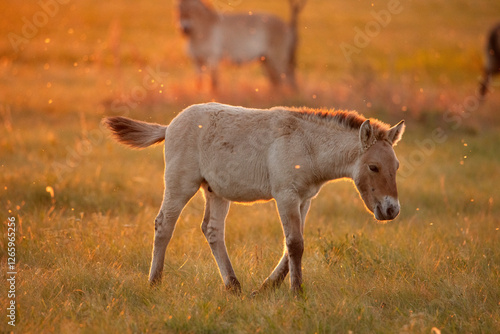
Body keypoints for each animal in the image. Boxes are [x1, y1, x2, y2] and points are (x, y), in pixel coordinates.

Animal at [103, 102, 404, 294]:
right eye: (373, 167)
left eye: (397, 166)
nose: (392, 210)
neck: (307, 144)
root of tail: (169, 126)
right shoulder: (286, 195)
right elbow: (295, 244)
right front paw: (297, 292)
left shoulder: (304, 199)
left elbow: (291, 246)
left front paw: (266, 288)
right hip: (181, 184)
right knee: (164, 224)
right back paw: (155, 282)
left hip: (215, 191)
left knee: (212, 230)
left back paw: (233, 286)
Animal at [178, 0, 306, 91]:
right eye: (178, 8)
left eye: (192, 10)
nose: (184, 29)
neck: (204, 29)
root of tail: (287, 27)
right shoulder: (196, 60)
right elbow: (199, 81)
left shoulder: (213, 58)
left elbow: (214, 82)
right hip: (266, 60)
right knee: (277, 81)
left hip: (277, 58)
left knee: (286, 78)